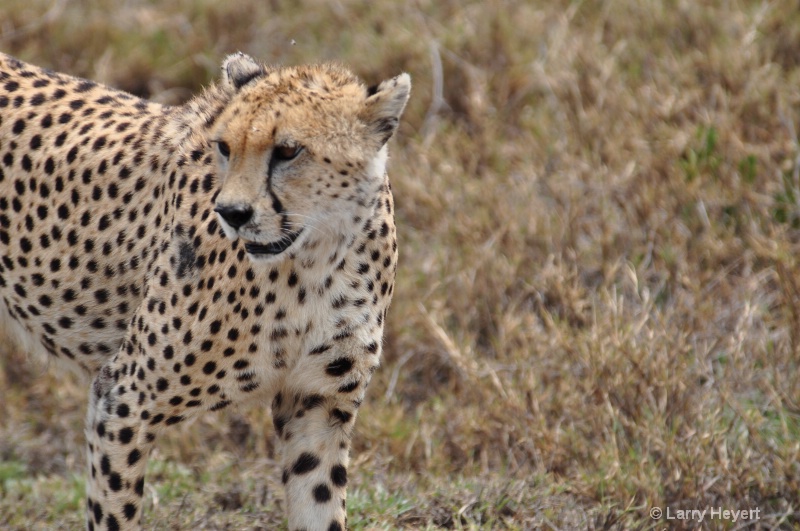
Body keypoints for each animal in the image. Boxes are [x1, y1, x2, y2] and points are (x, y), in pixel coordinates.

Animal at [0, 51, 410, 531]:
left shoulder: (317, 407)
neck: (316, 260)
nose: (231, 213)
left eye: (289, 150)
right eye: (225, 147)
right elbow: (115, 510)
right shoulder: (123, 397)